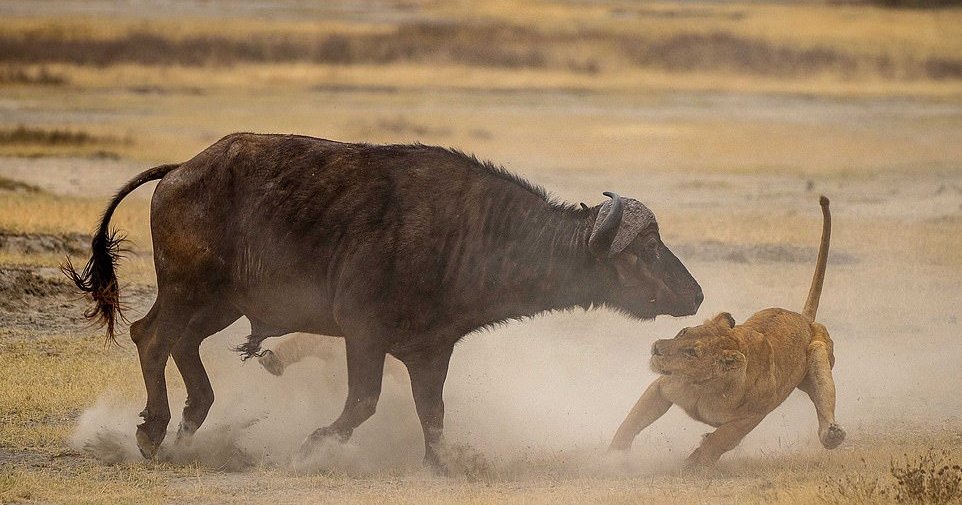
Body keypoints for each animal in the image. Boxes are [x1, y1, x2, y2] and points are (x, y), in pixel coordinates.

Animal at [63, 132, 700, 470]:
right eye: (644, 250)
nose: (694, 294)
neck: (466, 233)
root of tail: (182, 170)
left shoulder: (431, 351)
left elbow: (432, 412)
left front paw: (443, 464)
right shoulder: (362, 332)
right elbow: (364, 402)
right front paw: (313, 445)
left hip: (220, 303)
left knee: (184, 344)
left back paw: (191, 424)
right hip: (187, 288)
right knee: (151, 337)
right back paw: (153, 431)